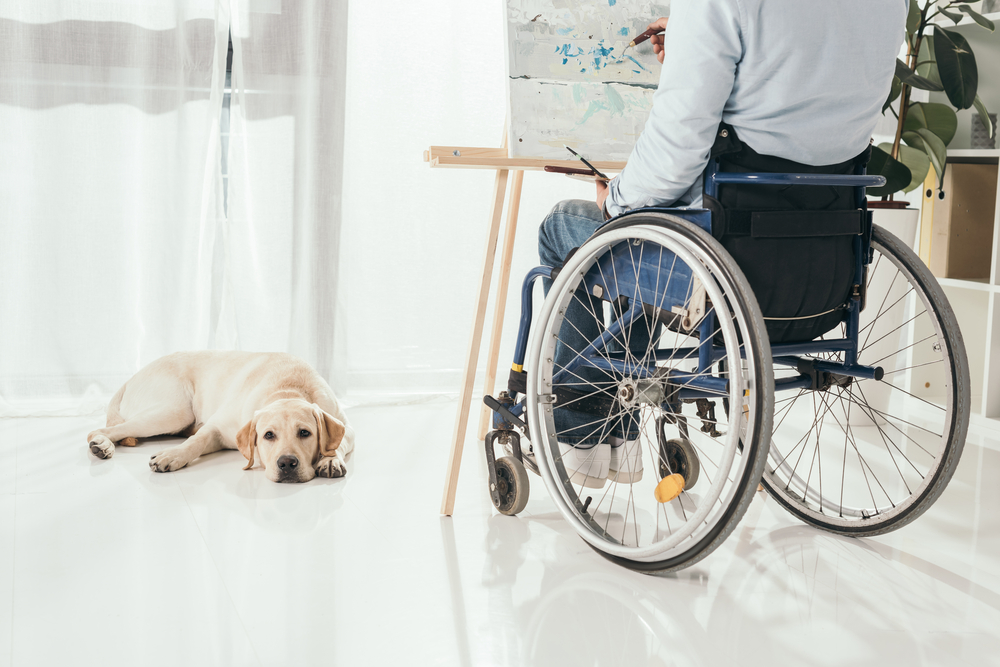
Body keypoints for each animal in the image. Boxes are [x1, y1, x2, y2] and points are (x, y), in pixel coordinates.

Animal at [85, 350, 356, 486]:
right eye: (268, 435)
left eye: (305, 433)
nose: (287, 464)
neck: (287, 388)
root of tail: (130, 378)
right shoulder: (217, 428)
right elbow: (196, 442)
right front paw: (172, 455)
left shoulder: (347, 428)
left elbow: (338, 443)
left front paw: (329, 460)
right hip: (175, 411)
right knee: (103, 429)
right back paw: (102, 444)